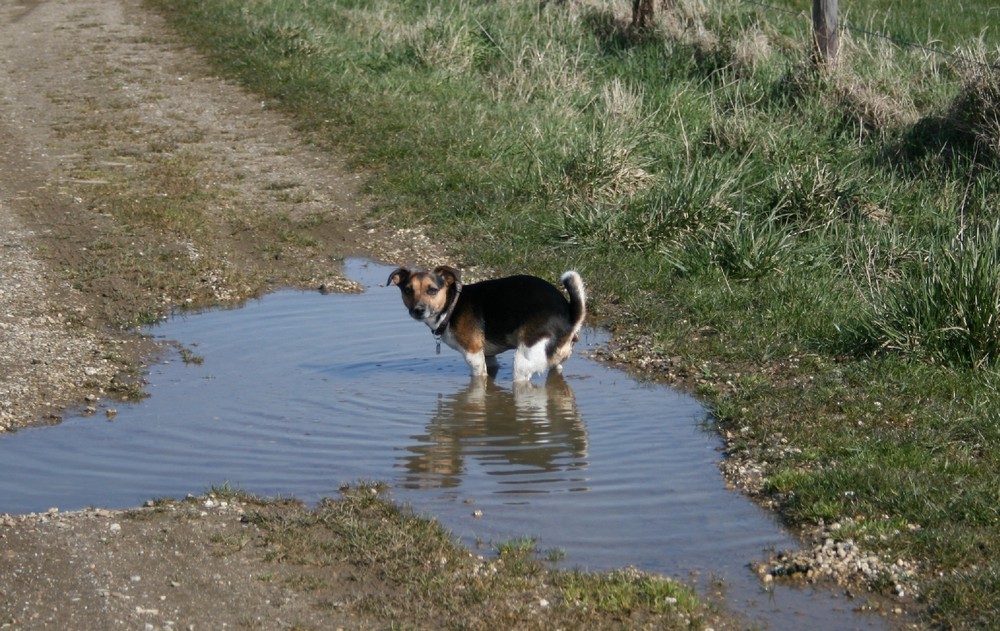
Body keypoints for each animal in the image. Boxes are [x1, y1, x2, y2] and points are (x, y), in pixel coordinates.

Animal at [386, 266, 584, 382]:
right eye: (408, 290)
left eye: (432, 290)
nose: (418, 310)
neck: (452, 305)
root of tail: (570, 317)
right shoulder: (488, 356)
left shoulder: (473, 356)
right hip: (555, 362)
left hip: (523, 362)